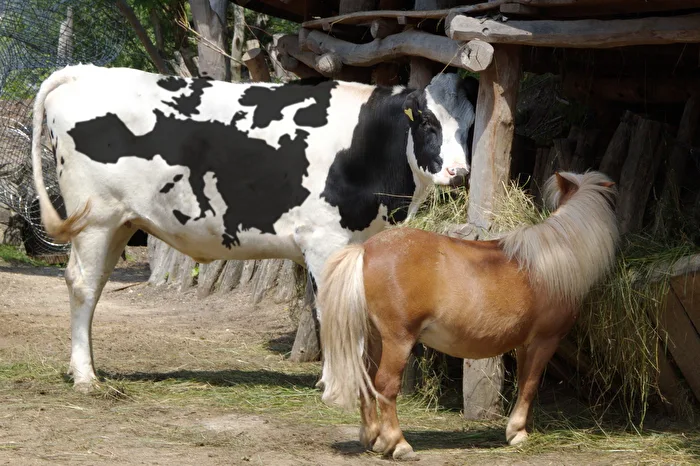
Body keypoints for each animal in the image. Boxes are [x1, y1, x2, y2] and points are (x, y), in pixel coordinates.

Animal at [30, 64, 478, 392]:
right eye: (427, 122)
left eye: (470, 124)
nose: (458, 173)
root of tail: (83, 71)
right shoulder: (324, 240)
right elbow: (329, 309)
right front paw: (338, 384)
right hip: (95, 219)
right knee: (83, 285)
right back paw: (86, 377)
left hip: (121, 222)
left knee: (95, 285)